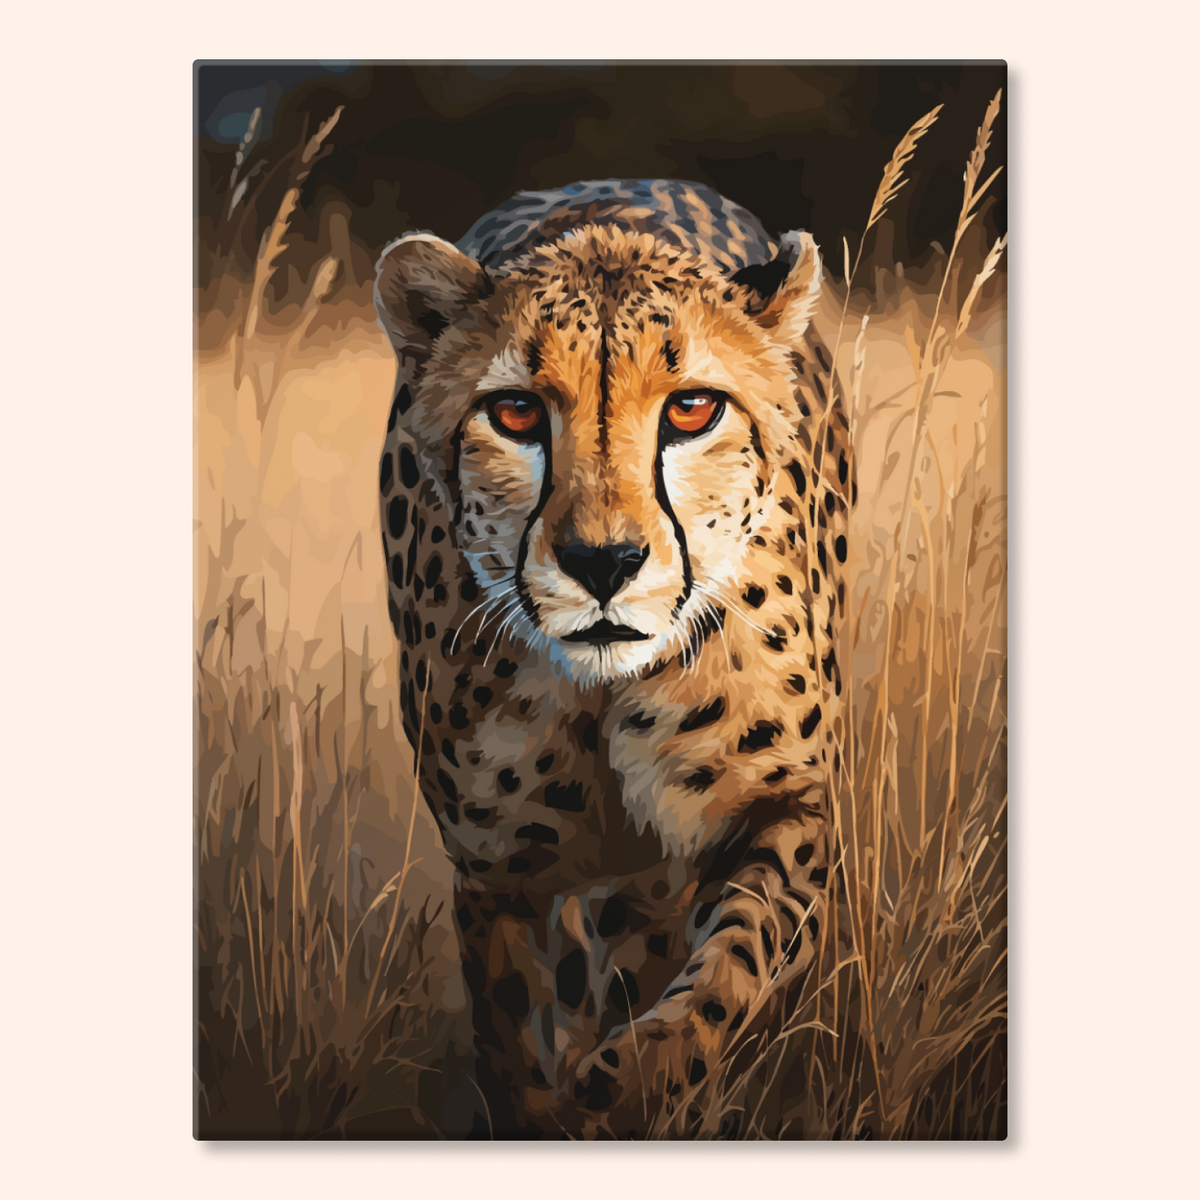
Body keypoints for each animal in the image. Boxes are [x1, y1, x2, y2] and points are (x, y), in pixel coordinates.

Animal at [373, 179, 854, 1138]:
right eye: (516, 412)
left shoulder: (784, 807)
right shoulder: (497, 875)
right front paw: (555, 1110)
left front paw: (638, 1082)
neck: (601, 696)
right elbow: (511, 1046)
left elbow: (733, 966)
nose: (604, 562)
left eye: (692, 409)